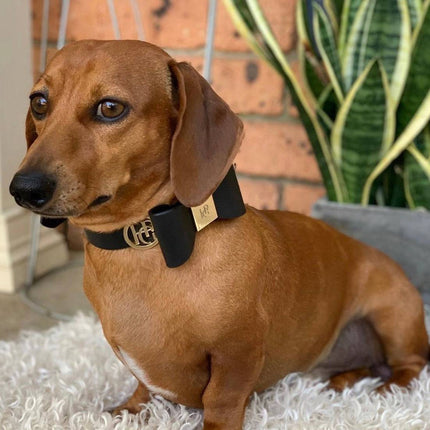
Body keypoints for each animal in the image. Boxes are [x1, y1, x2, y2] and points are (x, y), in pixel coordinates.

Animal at [8, 39, 428, 426]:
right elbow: (143, 386)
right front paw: (129, 410)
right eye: (39, 102)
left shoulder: (237, 352)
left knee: (411, 365)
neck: (148, 245)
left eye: (110, 108)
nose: (23, 189)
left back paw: (387, 391)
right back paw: (342, 381)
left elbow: (222, 398)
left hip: (394, 319)